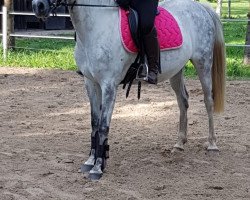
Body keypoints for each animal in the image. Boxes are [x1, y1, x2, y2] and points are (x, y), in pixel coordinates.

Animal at [32, 0, 226, 180]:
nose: (37, 6)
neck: (97, 26)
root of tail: (200, 7)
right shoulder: (90, 83)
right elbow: (94, 124)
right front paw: (90, 161)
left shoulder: (109, 85)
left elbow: (103, 126)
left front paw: (98, 168)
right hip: (177, 71)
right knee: (183, 101)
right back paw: (179, 144)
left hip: (203, 63)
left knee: (208, 102)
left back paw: (212, 145)